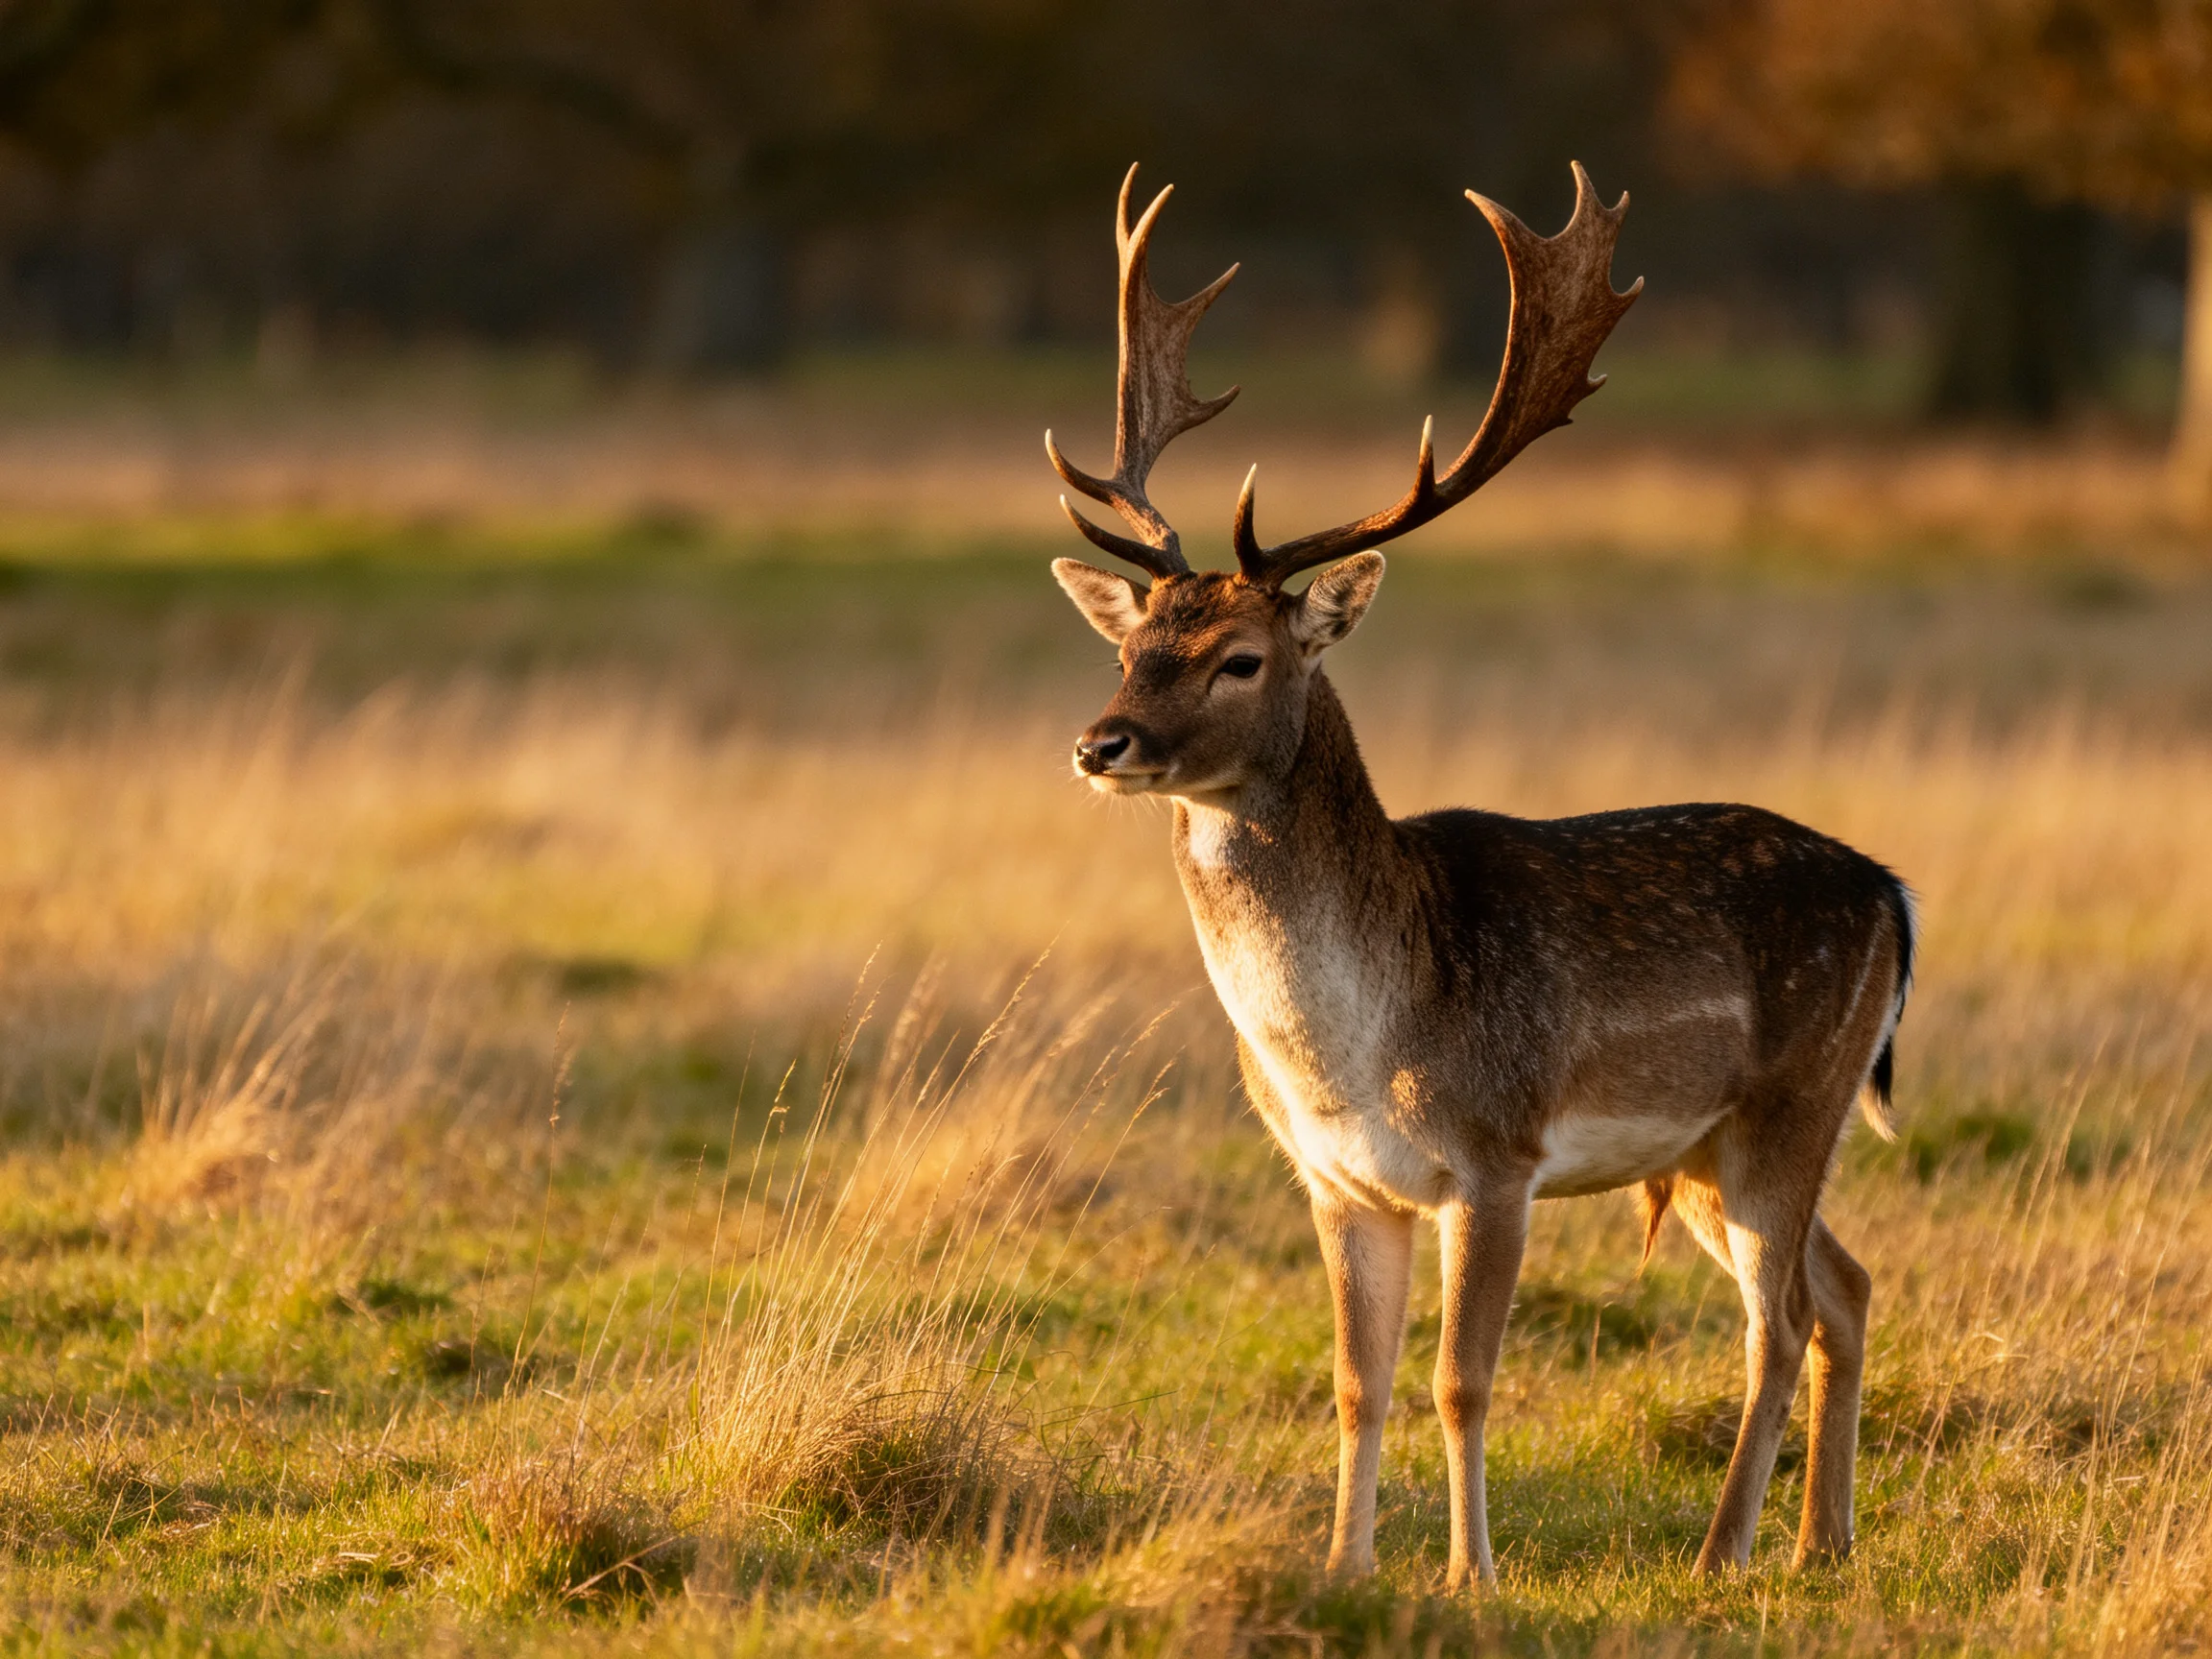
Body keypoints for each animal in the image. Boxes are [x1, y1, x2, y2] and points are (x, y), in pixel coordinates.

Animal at [1043, 164, 1915, 1589]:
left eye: (1238, 657)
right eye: (1133, 645)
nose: (1099, 742)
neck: (1348, 1049)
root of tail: (1894, 893)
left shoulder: (1497, 1156)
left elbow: (1463, 1381)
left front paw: (1468, 1576)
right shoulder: (1337, 1180)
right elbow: (1358, 1382)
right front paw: (1344, 1569)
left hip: (1796, 1099)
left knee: (1783, 1314)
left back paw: (1724, 1549)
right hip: (1723, 1144)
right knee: (1848, 1285)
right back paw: (1819, 1542)